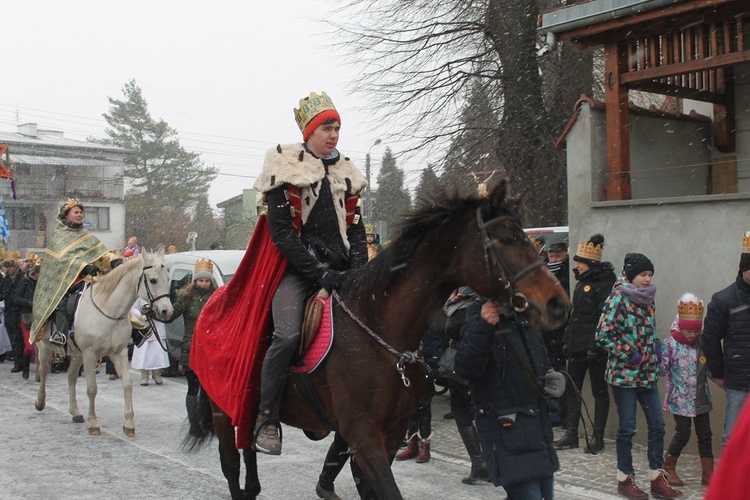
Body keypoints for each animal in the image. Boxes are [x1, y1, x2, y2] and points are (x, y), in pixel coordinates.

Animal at [34, 250, 173, 438]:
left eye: (168, 278)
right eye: (152, 280)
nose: (167, 311)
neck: (108, 310)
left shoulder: (119, 352)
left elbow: (127, 384)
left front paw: (129, 425)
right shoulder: (90, 354)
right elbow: (92, 389)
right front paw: (93, 424)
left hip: (77, 354)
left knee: (71, 376)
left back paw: (75, 412)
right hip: (45, 346)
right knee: (44, 371)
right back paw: (40, 402)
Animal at [188, 182, 568, 500]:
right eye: (504, 238)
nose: (557, 303)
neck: (378, 331)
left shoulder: (390, 436)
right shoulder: (364, 439)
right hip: (223, 409)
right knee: (232, 466)